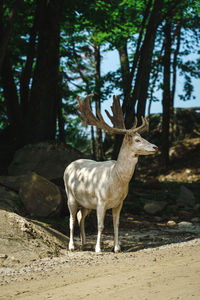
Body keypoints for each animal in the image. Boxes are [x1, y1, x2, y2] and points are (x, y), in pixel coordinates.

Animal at [63, 94, 159, 253]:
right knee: (71, 218)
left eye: (143, 137)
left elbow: (116, 224)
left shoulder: (120, 202)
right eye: (137, 139)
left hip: (86, 203)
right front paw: (98, 249)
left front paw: (117, 248)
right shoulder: (101, 200)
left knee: (80, 216)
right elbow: (100, 225)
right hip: (70, 196)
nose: (155, 147)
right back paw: (72, 246)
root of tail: (69, 165)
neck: (115, 179)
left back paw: (84, 244)